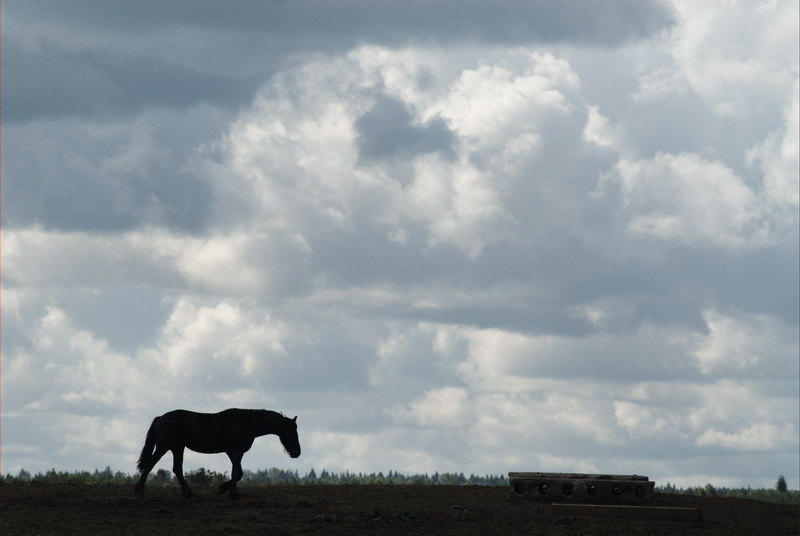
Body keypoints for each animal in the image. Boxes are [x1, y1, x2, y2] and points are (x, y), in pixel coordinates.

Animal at [134, 410, 300, 498]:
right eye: (292, 432)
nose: (297, 453)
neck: (247, 422)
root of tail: (160, 418)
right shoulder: (236, 451)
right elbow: (236, 473)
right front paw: (231, 493)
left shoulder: (232, 452)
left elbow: (238, 473)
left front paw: (223, 489)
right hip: (164, 447)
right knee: (149, 465)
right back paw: (139, 491)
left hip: (178, 448)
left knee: (177, 469)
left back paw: (189, 493)